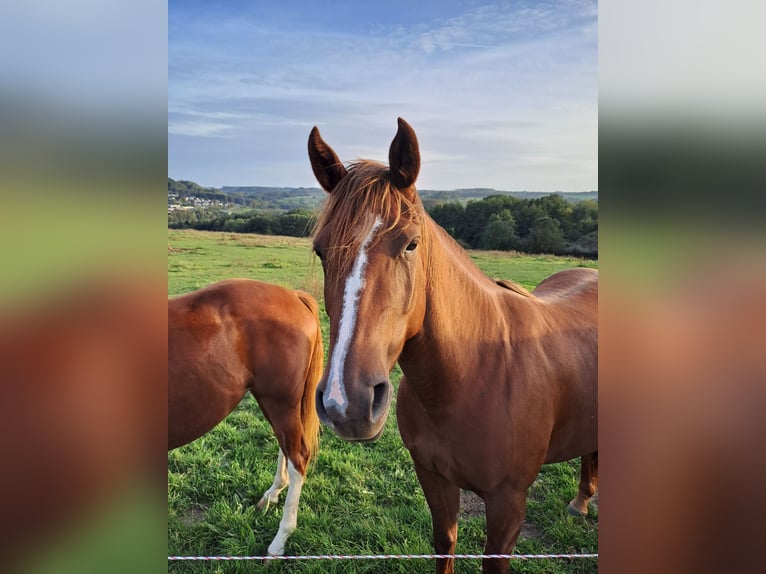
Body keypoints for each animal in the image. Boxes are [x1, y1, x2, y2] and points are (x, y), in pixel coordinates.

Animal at [168, 280, 324, 560]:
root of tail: (294, 296)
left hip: (279, 401)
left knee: (298, 456)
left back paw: (279, 542)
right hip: (273, 402)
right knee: (286, 447)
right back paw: (272, 494)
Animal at [308, 119, 596, 572]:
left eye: (410, 243)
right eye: (320, 250)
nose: (346, 404)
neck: (474, 372)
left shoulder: (508, 504)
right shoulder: (434, 479)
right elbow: (445, 542)